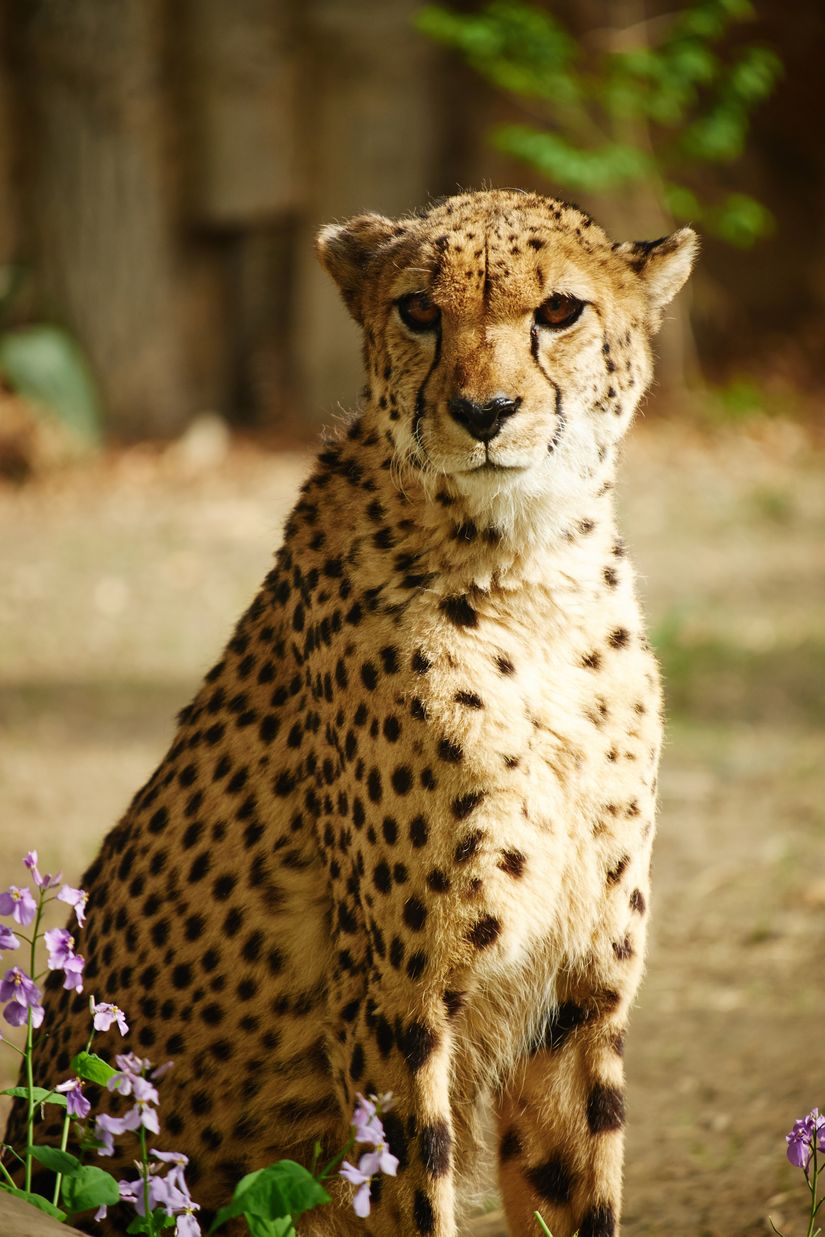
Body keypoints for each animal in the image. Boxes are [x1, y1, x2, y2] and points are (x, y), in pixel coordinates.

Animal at [11, 188, 697, 1232]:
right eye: (418, 311)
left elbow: (576, 1194)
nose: (483, 412)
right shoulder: (395, 1001)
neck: (527, 571)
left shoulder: (577, 993)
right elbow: (411, 1189)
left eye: (558, 311)